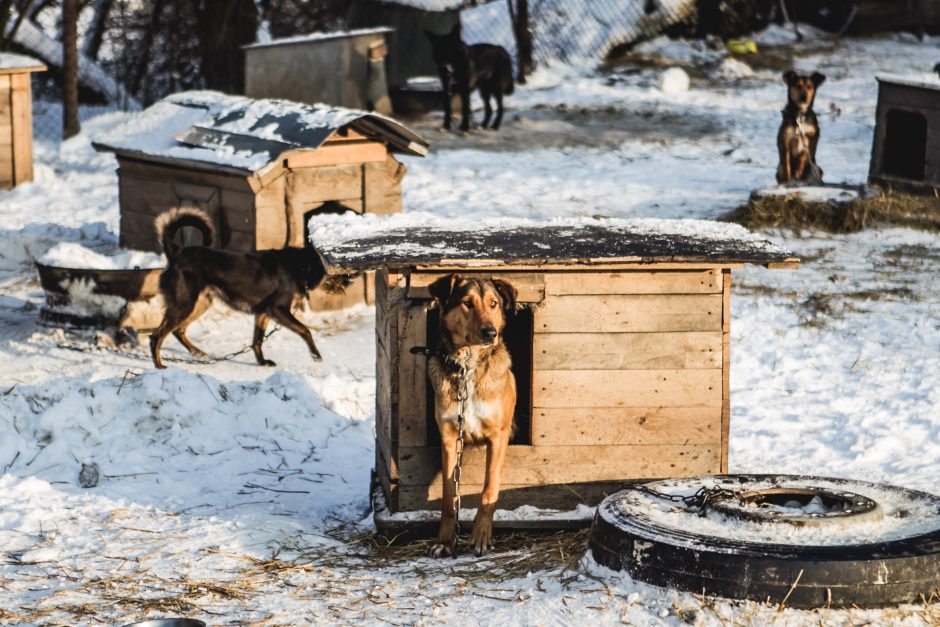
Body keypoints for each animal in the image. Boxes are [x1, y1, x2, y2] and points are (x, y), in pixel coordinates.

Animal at [145, 209, 340, 370]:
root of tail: (177, 253)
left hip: (199, 303)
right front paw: (315, 355)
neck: (297, 265)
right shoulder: (277, 309)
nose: (346, 281)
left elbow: (257, 341)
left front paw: (262, 362)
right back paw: (159, 365)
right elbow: (305, 330)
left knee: (177, 331)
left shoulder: (263, 313)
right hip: (184, 304)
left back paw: (197, 353)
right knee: (156, 337)